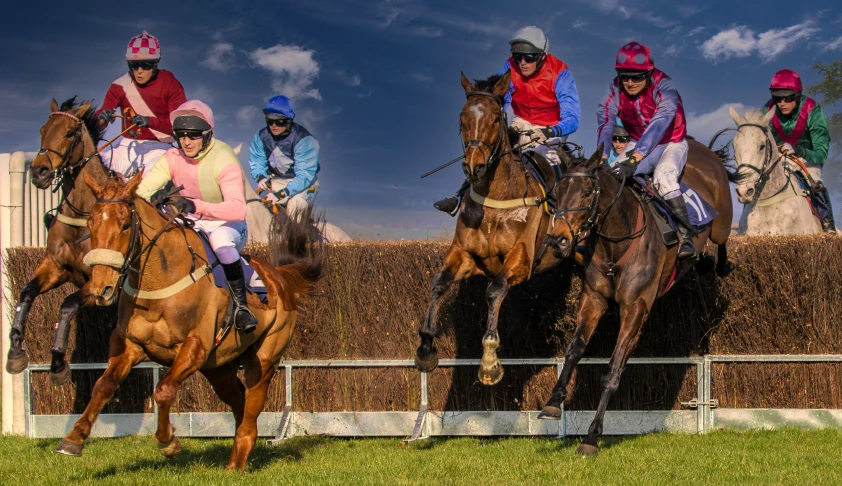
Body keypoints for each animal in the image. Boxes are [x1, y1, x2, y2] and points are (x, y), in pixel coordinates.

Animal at [5, 97, 111, 386]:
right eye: (43, 129)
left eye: (70, 133)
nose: (39, 172)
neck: (82, 214)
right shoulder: (56, 267)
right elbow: (26, 292)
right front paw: (15, 351)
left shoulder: (100, 284)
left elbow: (67, 305)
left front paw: (58, 364)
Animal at [52, 173, 322, 468]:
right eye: (90, 223)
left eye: (124, 225)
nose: (101, 289)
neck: (159, 282)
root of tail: (279, 275)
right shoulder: (131, 345)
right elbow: (103, 385)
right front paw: (74, 438)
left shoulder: (195, 347)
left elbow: (163, 390)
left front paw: (168, 441)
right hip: (217, 367)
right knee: (238, 402)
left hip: (263, 359)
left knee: (251, 408)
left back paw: (235, 465)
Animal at [416, 71, 572, 384]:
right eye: (462, 118)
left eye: (495, 119)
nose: (473, 168)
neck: (495, 199)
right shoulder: (465, 255)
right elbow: (439, 281)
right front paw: (426, 347)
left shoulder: (521, 260)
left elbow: (495, 288)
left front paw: (489, 361)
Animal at [540, 140, 732, 456]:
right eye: (557, 192)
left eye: (587, 191)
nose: (558, 240)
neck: (616, 242)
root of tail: (699, 145)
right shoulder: (593, 299)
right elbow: (574, 351)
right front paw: (553, 403)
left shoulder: (635, 309)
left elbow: (612, 372)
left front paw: (591, 437)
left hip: (720, 224)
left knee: (722, 240)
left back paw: (715, 262)